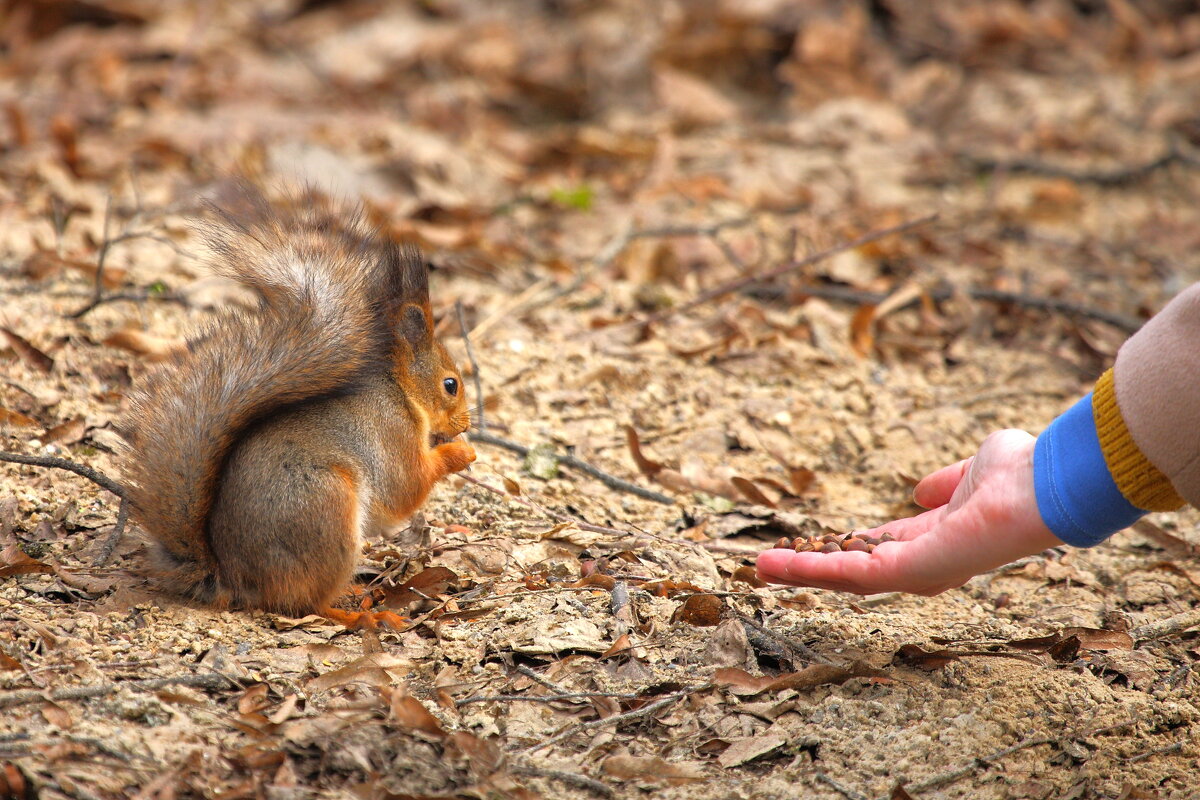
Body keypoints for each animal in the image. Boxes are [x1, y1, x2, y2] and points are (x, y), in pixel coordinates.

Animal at [121, 185, 475, 623]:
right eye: (450, 385)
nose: (464, 425)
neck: (399, 391)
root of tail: (237, 581)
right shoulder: (392, 432)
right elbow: (406, 488)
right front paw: (460, 453)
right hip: (326, 512)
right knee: (307, 603)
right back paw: (361, 614)